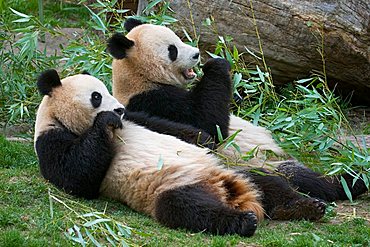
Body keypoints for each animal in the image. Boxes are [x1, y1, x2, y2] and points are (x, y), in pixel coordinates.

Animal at [35, 70, 342, 236]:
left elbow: (173, 127)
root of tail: (228, 189)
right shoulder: (51, 140)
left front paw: (202, 139)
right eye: (96, 96)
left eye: (107, 91)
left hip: (237, 170)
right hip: (171, 189)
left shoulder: (138, 117)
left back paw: (307, 206)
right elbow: (77, 176)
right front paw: (105, 122)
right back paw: (244, 221)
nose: (118, 109)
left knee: (271, 184)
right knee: (190, 209)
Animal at [106, 17, 368, 203]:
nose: (197, 54)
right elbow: (208, 126)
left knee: (308, 176)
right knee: (296, 179)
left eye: (179, 39)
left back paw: (352, 181)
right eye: (172, 49)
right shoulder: (153, 101)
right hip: (252, 165)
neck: (140, 78)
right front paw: (217, 63)